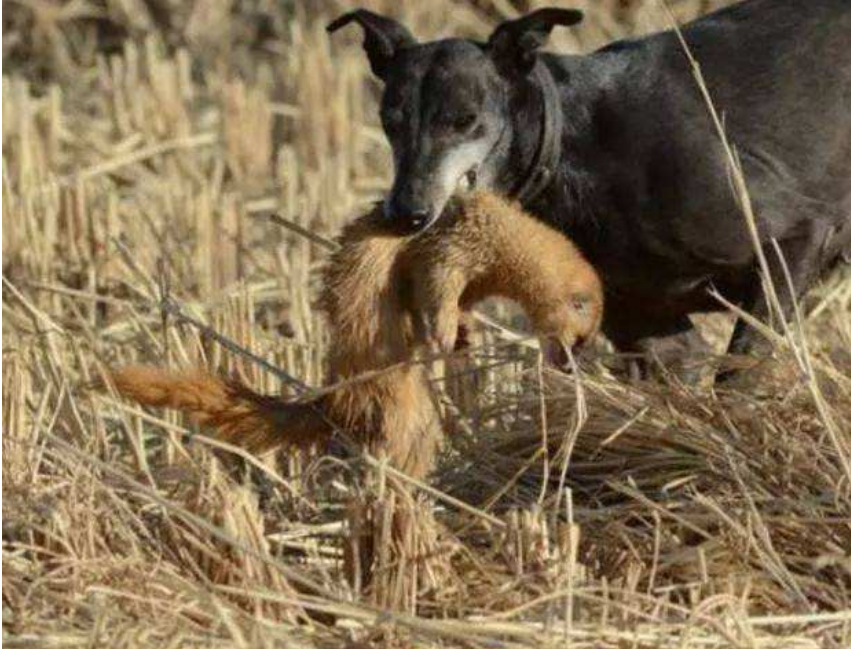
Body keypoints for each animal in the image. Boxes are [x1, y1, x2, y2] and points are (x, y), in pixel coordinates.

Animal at [328, 0, 851, 378]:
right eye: (390, 121)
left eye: (463, 119)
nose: (405, 213)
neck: (576, 148)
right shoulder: (652, 331)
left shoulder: (794, 241)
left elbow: (739, 369)